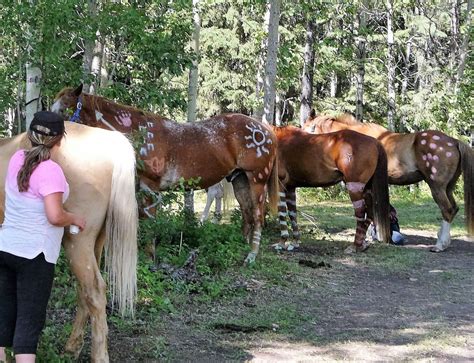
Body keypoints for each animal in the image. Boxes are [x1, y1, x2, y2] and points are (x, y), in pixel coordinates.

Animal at [0, 123, 138, 363]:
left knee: (94, 292)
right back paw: (72, 348)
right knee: (84, 292)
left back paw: (98, 355)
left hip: (78, 243)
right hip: (94, 244)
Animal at [51, 84, 282, 264]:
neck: (139, 134)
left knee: (257, 215)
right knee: (247, 212)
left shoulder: (150, 187)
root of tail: (266, 130)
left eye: (63, 110)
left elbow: (151, 223)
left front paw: (150, 258)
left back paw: (251, 255)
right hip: (239, 179)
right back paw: (242, 246)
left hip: (256, 180)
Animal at [304, 111, 474, 253]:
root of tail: (454, 141)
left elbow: (367, 212)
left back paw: (439, 245)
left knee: (447, 210)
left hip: (436, 187)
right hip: (448, 188)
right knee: (453, 209)